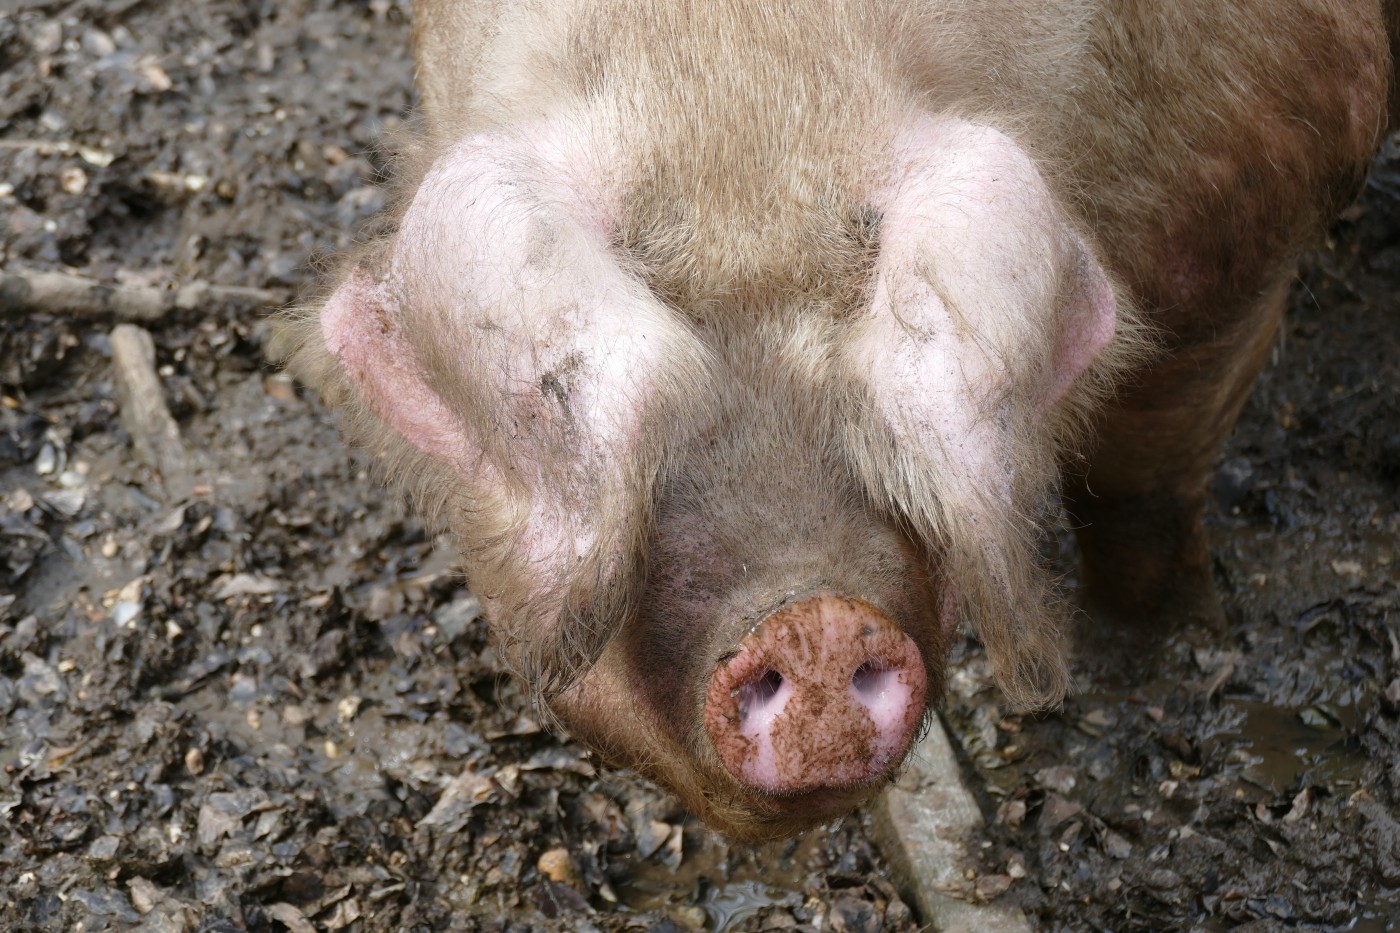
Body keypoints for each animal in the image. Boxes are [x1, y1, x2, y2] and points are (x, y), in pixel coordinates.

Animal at [275, 0, 1394, 839]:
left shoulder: (1252, 206)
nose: (808, 620)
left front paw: (1157, 655)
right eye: (662, 433)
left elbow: (1141, 481)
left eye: (866, 406)